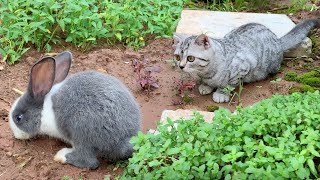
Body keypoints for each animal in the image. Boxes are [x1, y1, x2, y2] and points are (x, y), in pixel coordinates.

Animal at [8, 51, 141, 169]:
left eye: (18, 118)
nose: (16, 135)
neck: (42, 111)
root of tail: (123, 141)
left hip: (81, 131)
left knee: (89, 161)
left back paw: (62, 156)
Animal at [174, 19, 318, 102]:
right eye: (177, 57)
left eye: (190, 58)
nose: (180, 66)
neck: (206, 72)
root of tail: (277, 40)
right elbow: (207, 83)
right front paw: (206, 86)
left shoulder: (243, 67)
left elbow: (227, 85)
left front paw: (221, 93)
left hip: (270, 64)